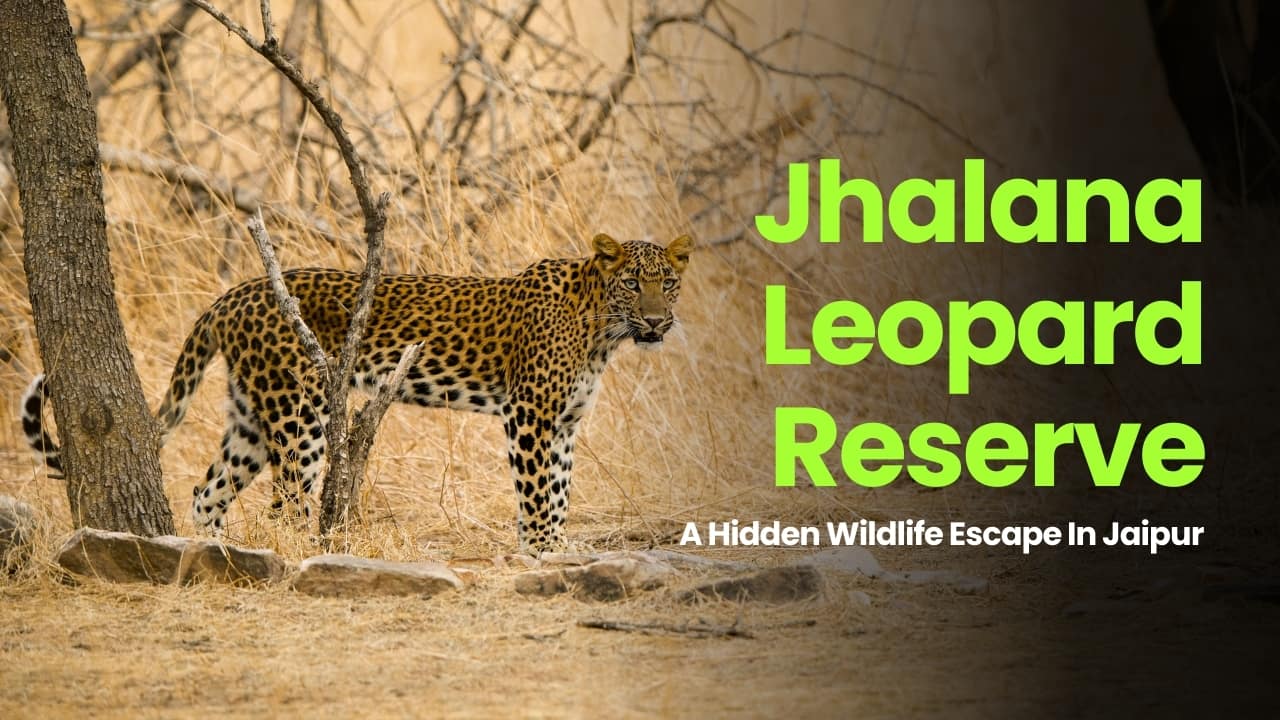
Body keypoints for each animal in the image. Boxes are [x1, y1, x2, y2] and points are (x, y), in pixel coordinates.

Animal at [21, 233, 692, 554]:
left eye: (669, 283)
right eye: (633, 283)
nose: (657, 323)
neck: (603, 330)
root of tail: (232, 295)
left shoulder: (566, 423)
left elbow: (559, 489)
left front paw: (555, 543)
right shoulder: (530, 414)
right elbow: (535, 489)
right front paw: (543, 550)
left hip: (250, 418)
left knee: (207, 491)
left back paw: (213, 550)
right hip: (300, 411)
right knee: (287, 503)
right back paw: (292, 555)